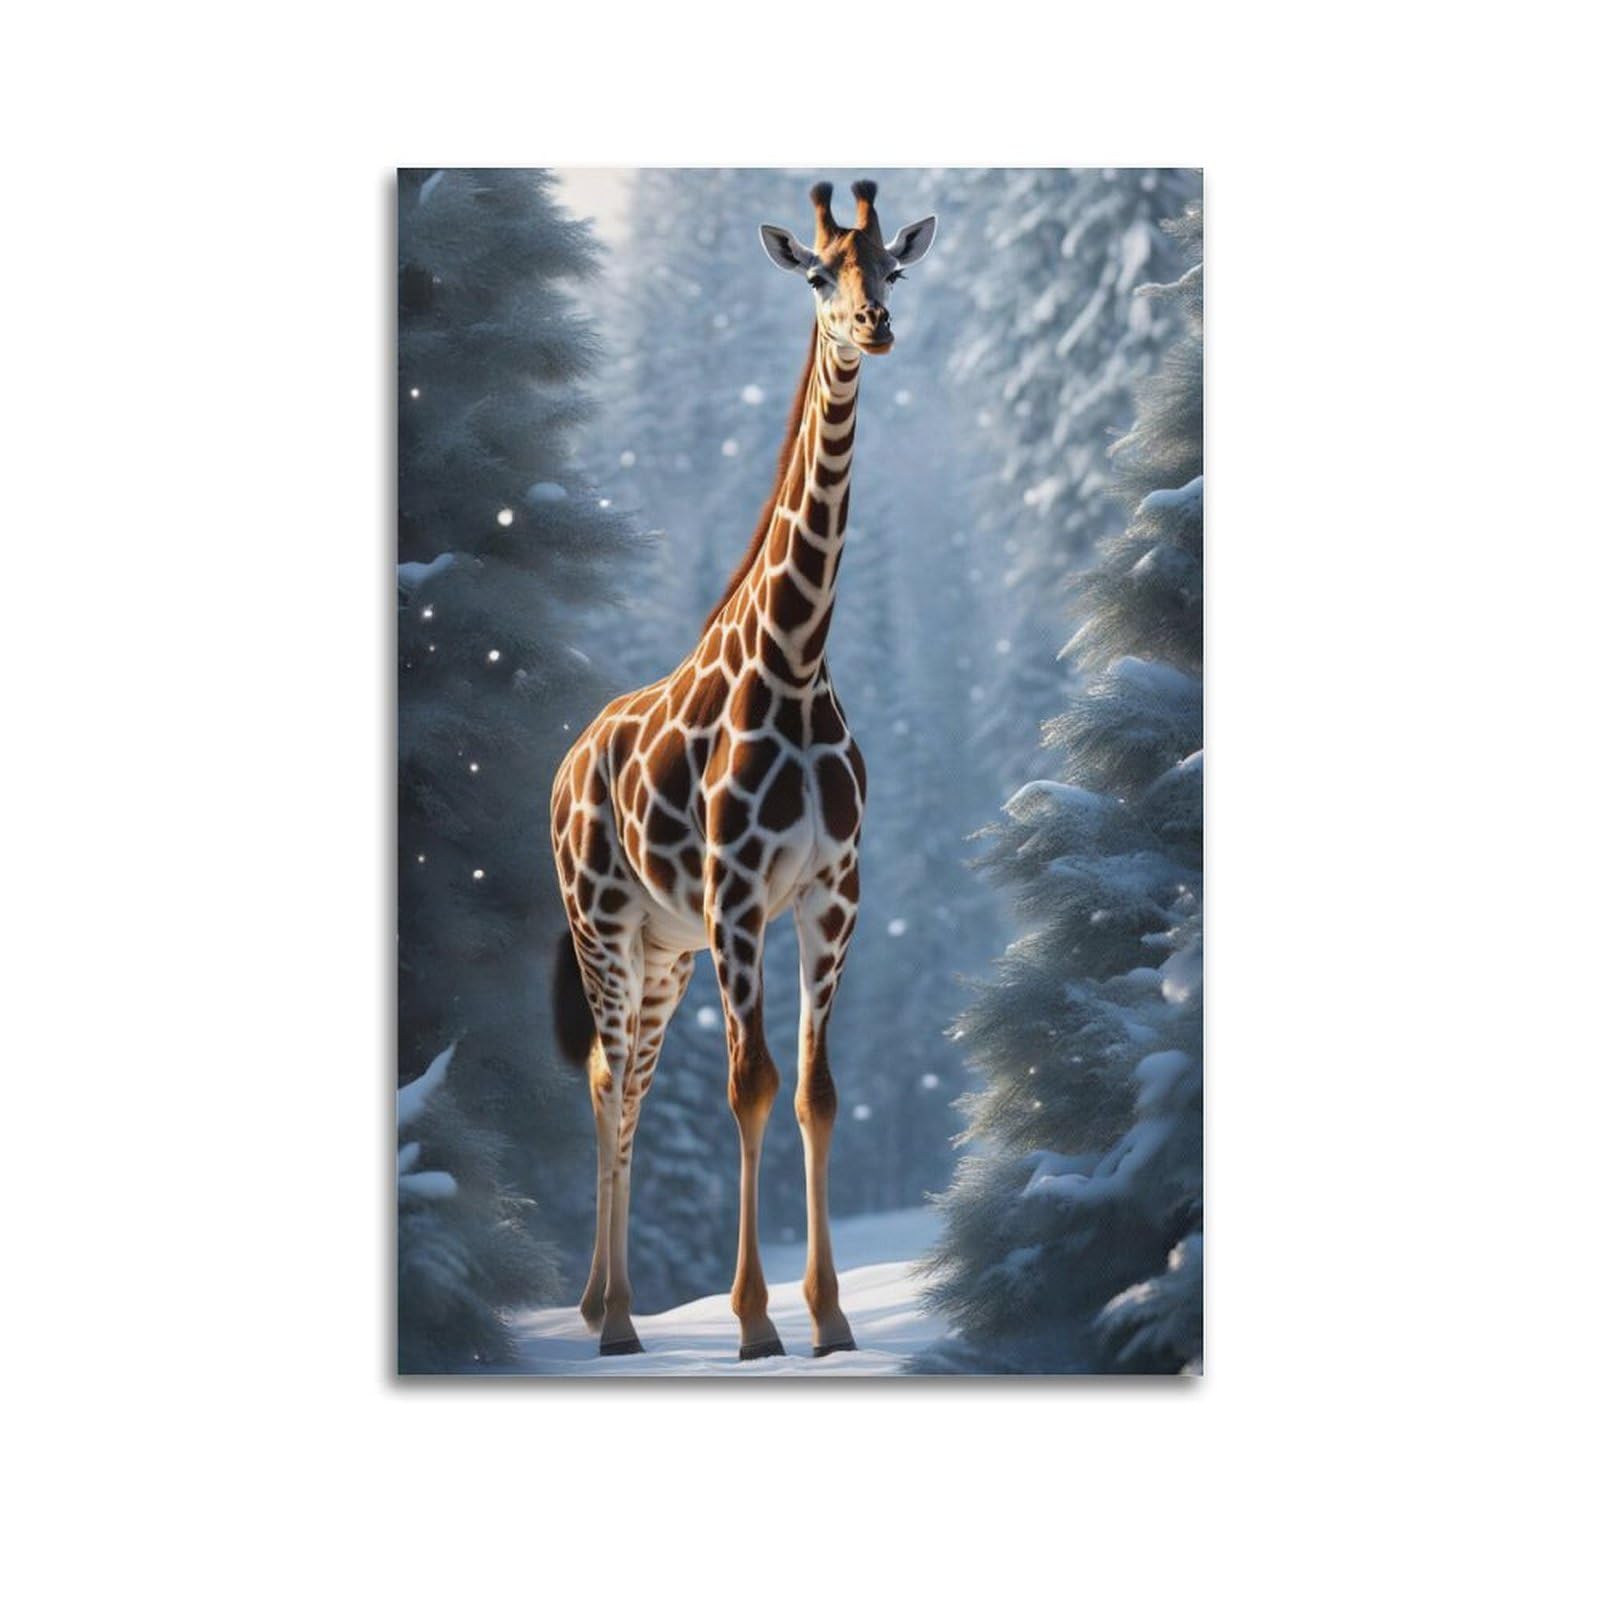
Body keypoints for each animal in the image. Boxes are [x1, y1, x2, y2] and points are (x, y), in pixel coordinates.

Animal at [549, 178, 937, 1360]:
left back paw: (607, 1305)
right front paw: (756, 1320)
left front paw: (833, 1319)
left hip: (661, 948)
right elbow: (749, 1086)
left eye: (891, 269)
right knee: (610, 1077)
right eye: (816, 275)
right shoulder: (735, 897)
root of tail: (564, 764)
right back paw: (613, 1319)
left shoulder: (832, 893)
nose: (873, 328)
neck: (798, 661)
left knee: (626, 1075)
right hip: (603, 921)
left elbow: (815, 1091)